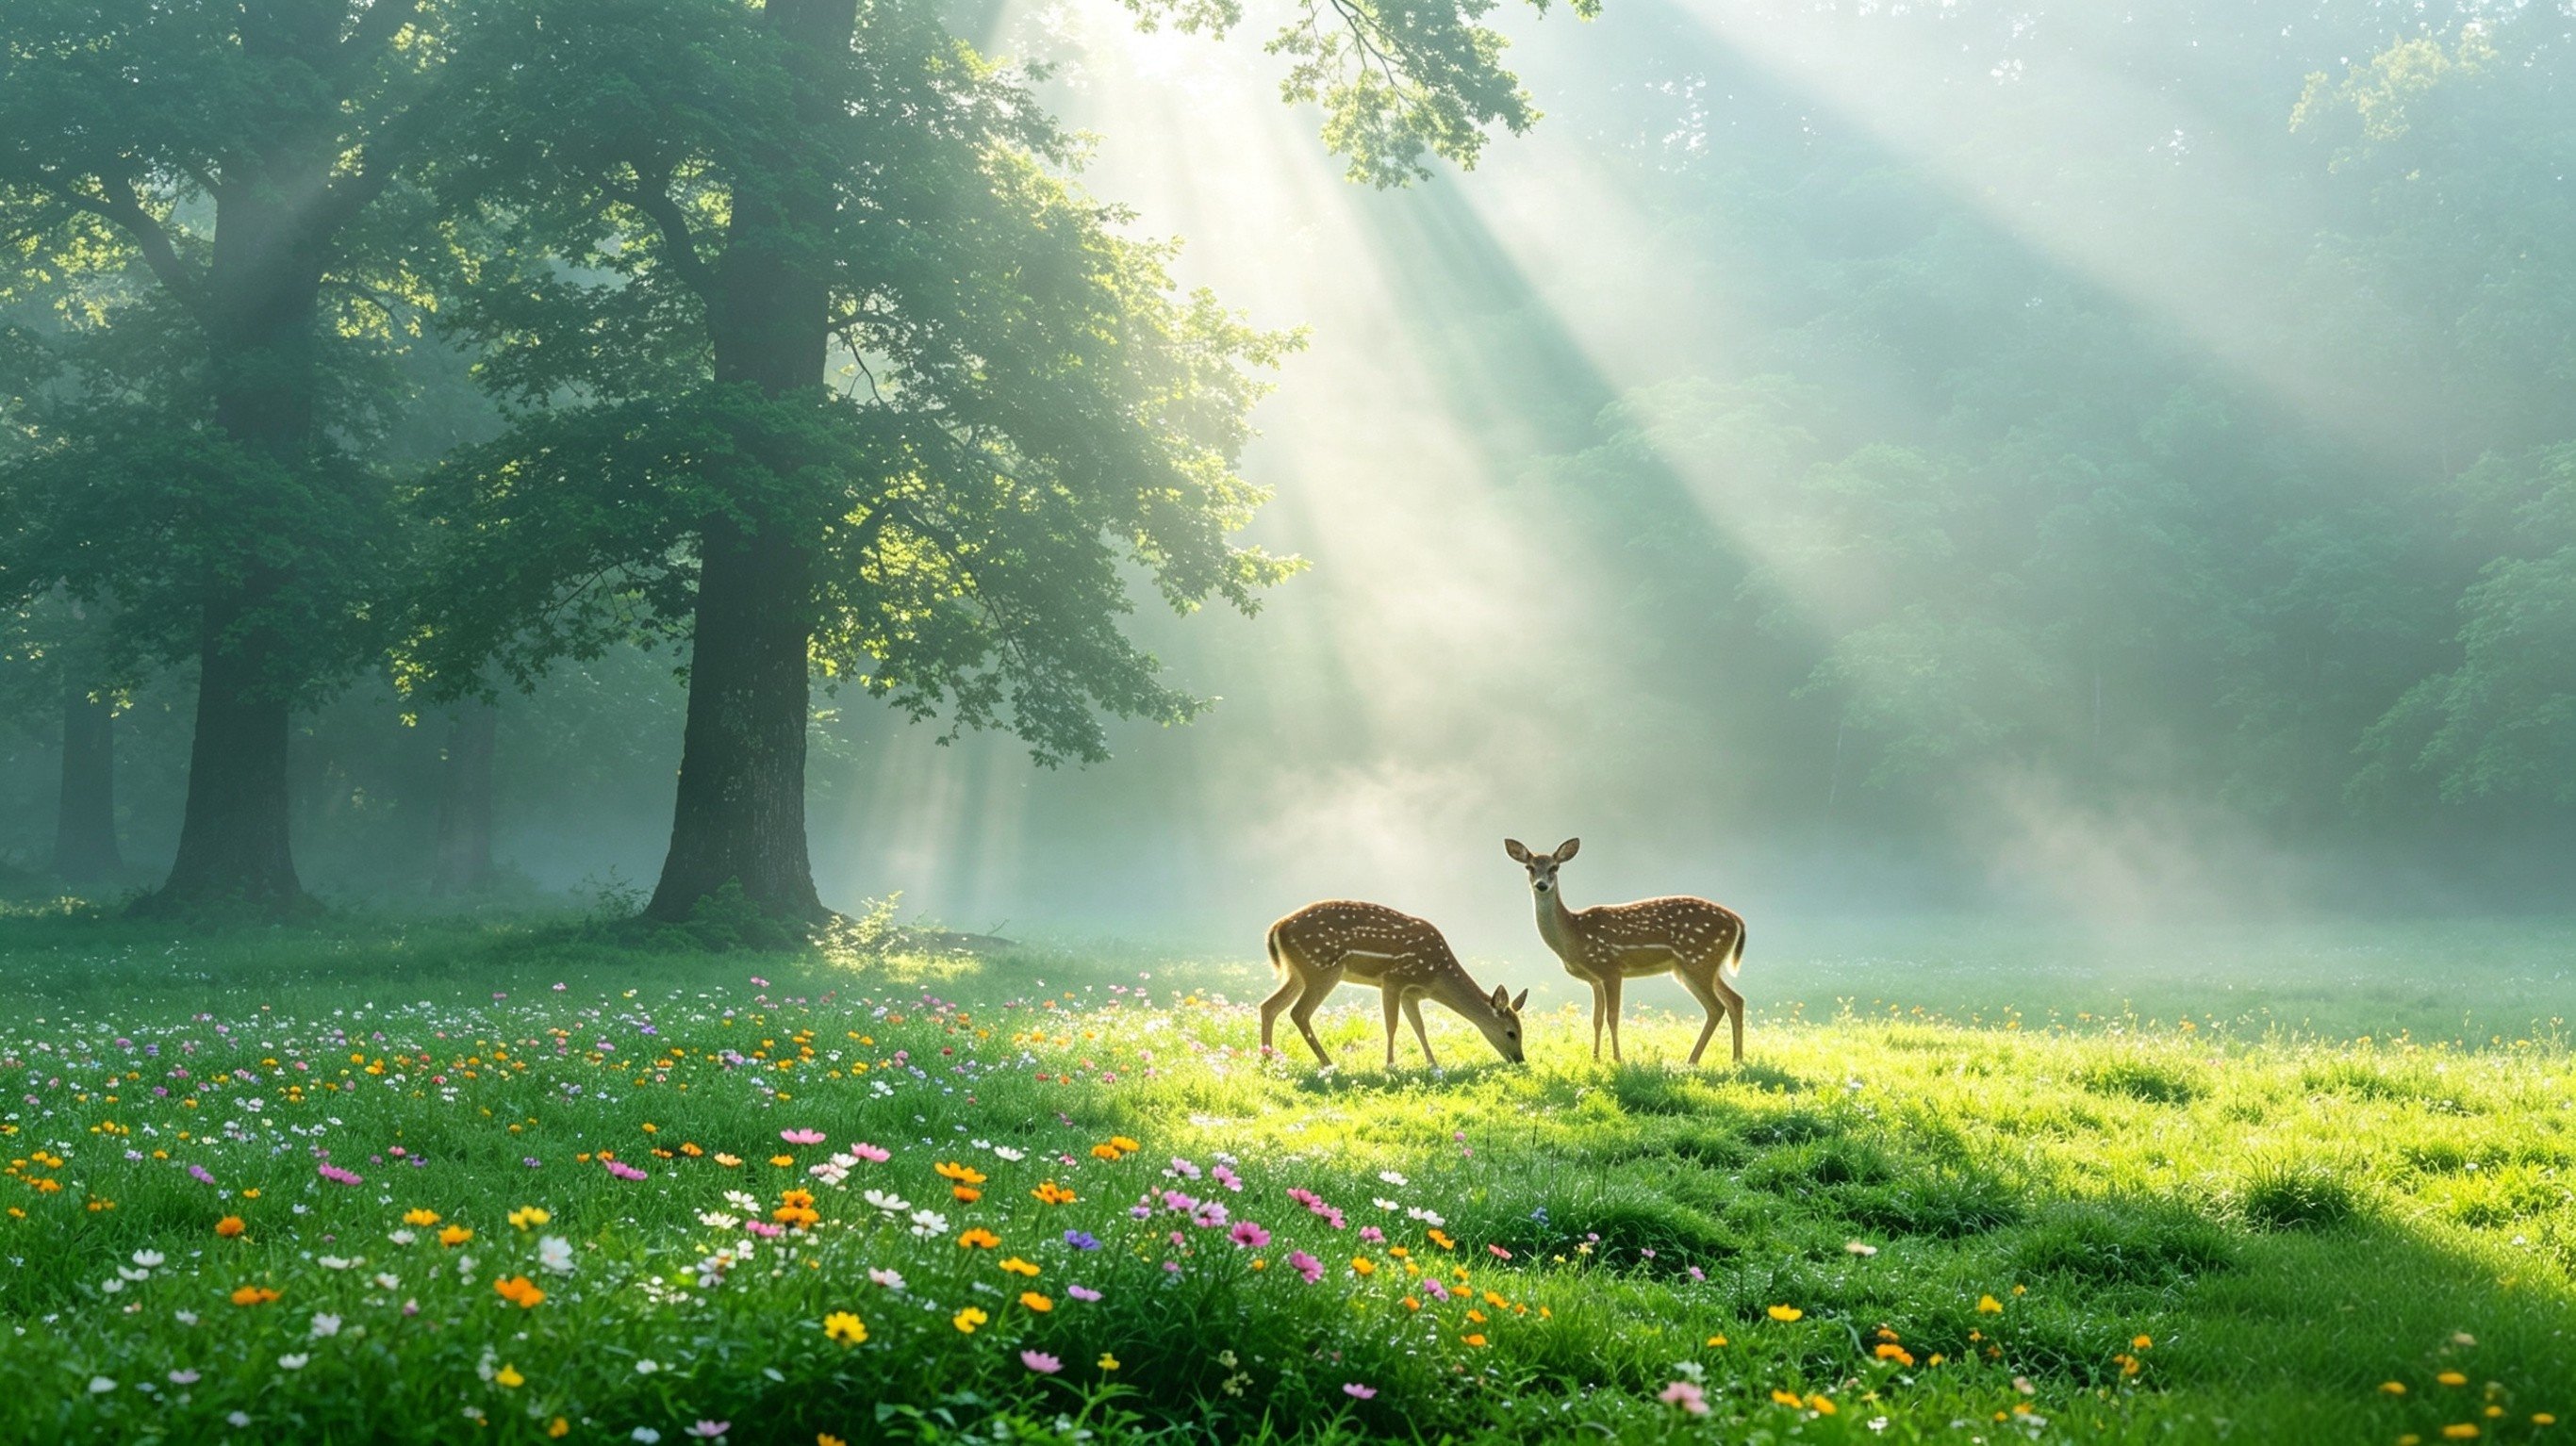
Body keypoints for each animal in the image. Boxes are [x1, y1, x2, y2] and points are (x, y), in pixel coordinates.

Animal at [1260, 901, 1529, 1069]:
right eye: (1511, 1033)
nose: (1520, 1060)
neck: (1436, 974)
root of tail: (1276, 929)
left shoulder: (1411, 993)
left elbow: (1419, 1027)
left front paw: (1434, 1065)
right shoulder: (1394, 979)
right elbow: (1392, 1025)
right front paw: (1390, 1066)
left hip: (1298, 972)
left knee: (1268, 1006)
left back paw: (1267, 1061)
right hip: (1322, 968)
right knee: (1298, 1012)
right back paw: (1329, 1063)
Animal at [1505, 838, 1748, 1065]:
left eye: (1554, 867)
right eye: (1529, 867)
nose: (1541, 885)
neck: (1574, 935)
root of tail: (1737, 921)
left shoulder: (1611, 968)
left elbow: (1613, 1017)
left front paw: (1617, 1059)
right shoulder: (1595, 978)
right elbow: (1596, 1019)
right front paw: (1595, 1058)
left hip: (1697, 959)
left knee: (1716, 1007)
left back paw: (1693, 1060)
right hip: (1701, 965)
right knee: (1734, 1000)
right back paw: (1736, 1059)